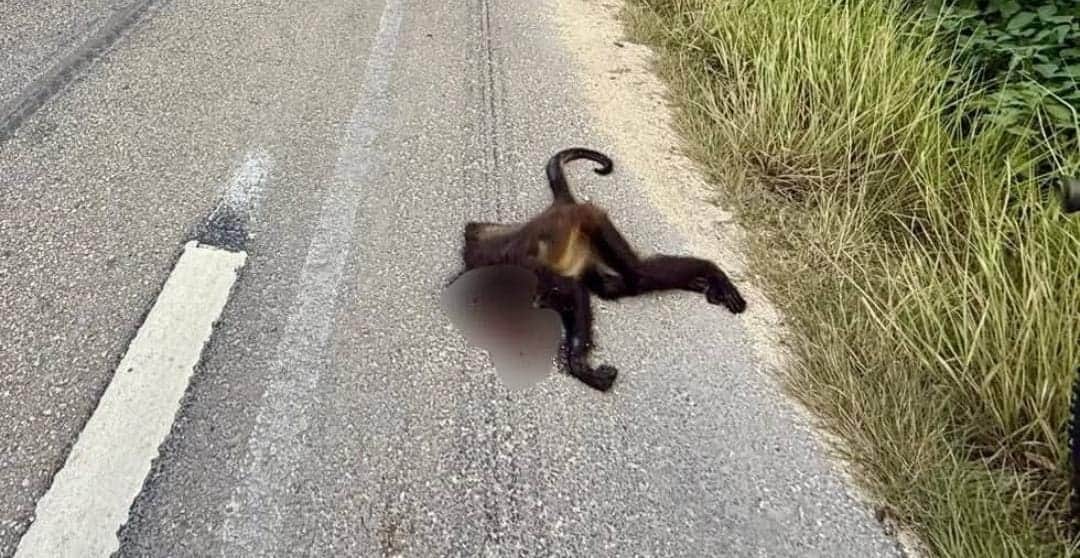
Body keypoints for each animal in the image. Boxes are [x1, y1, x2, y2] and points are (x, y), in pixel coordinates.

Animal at [455, 147, 747, 392]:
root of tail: (561, 207)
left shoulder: (532, 273)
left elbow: (573, 293)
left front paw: (579, 365)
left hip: (592, 221)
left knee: (637, 275)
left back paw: (714, 274)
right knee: (610, 285)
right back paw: (698, 282)